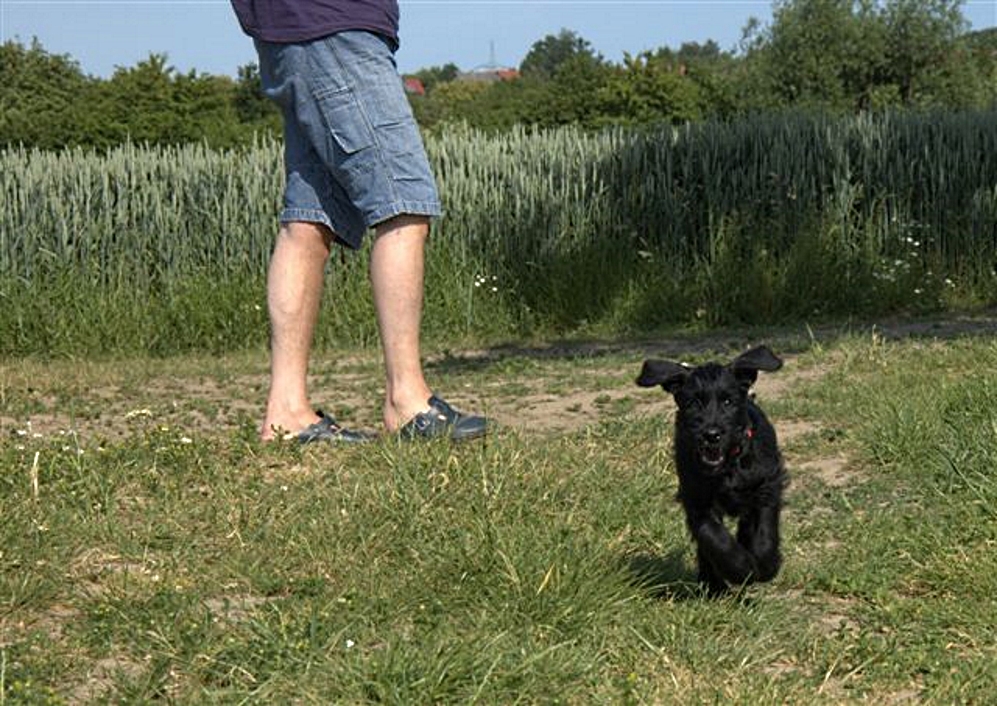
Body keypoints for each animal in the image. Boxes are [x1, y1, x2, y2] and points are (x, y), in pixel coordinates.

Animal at [640, 346, 784, 592]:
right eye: (693, 403)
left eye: (728, 401)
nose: (711, 435)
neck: (728, 467)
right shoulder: (697, 500)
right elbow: (715, 539)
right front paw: (741, 569)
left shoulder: (766, 485)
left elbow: (765, 530)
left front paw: (766, 565)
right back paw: (713, 586)